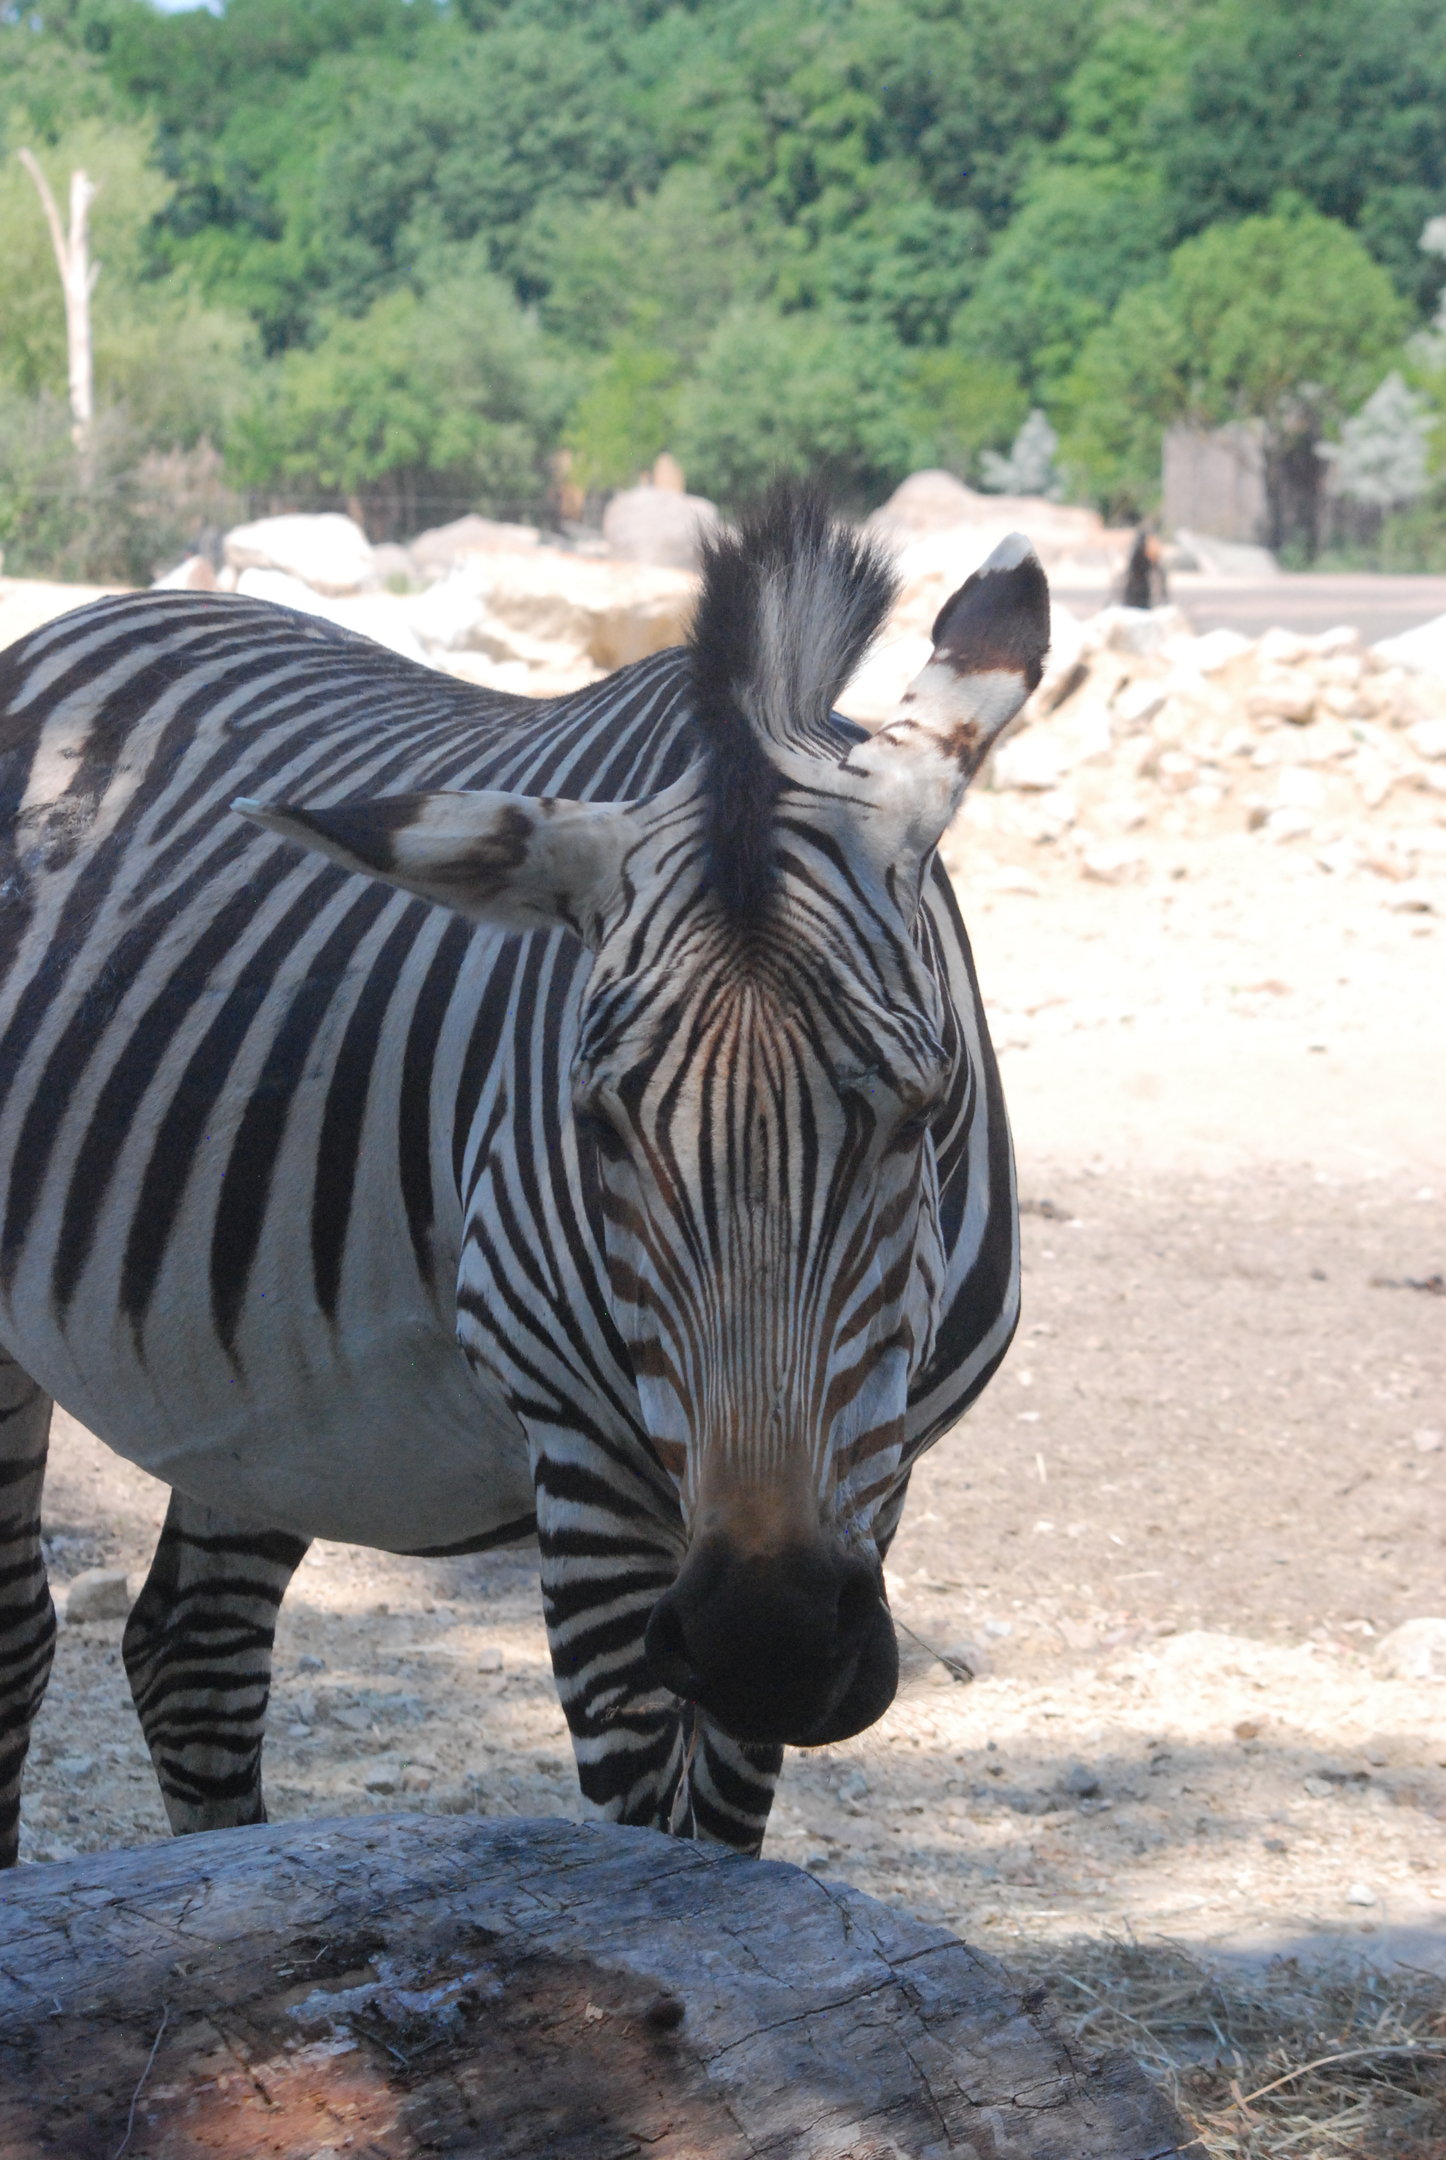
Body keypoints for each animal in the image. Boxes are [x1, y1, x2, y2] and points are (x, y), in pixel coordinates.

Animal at [0, 489, 1047, 1864]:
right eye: (596, 1123)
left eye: (921, 1111)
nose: (761, 1643)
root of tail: (104, 611)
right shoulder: (589, 1474)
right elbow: (649, 1845)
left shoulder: (877, 1472)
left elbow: (727, 1831)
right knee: (20, 1640)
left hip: (260, 1386)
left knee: (194, 1649)